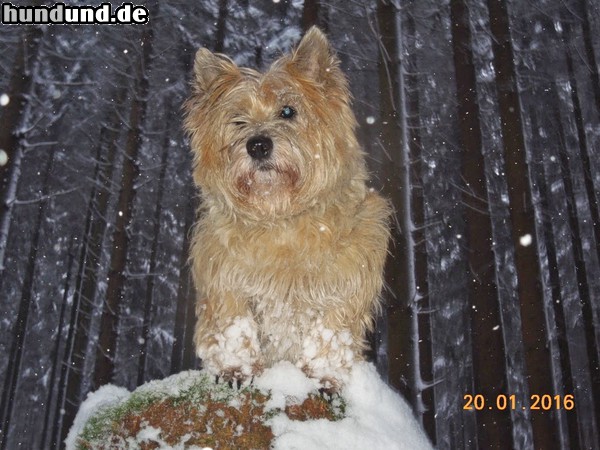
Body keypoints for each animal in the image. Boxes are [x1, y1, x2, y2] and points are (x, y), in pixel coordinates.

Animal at [183, 26, 392, 390]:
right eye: (238, 121)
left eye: (288, 111)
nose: (258, 145)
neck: (279, 216)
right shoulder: (224, 278)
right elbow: (233, 326)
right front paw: (236, 369)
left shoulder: (347, 279)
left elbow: (331, 329)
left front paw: (322, 375)